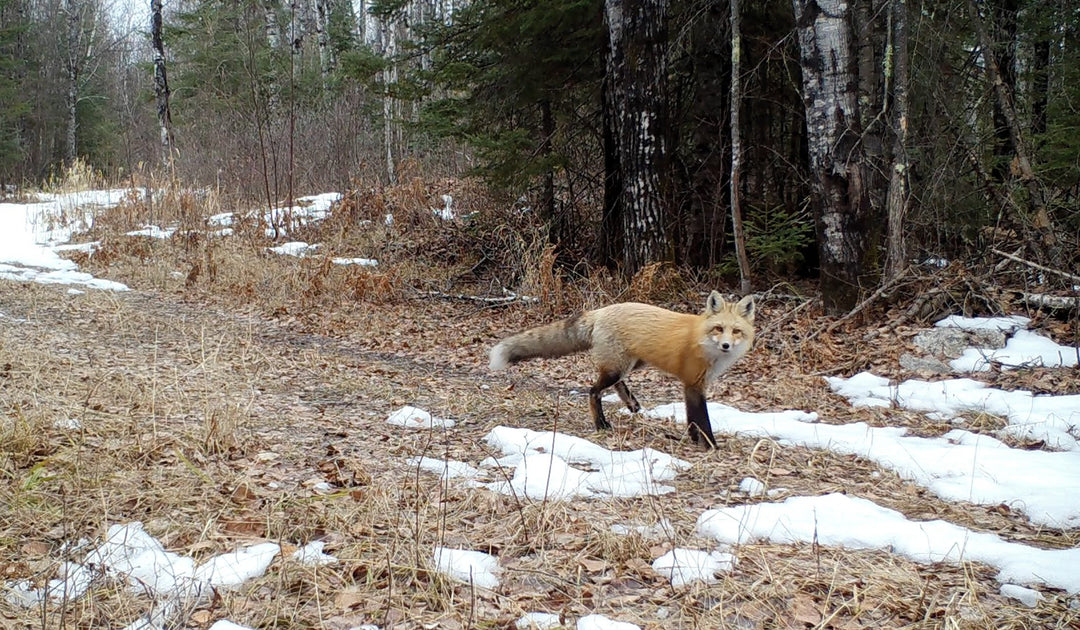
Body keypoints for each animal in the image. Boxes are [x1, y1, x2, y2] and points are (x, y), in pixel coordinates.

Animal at [490, 291, 751, 449]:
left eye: (736, 331)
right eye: (718, 329)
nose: (726, 345)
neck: (703, 344)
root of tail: (600, 311)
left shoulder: (695, 385)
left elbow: (693, 420)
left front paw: (697, 441)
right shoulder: (692, 384)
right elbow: (701, 420)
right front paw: (710, 445)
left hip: (634, 363)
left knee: (615, 383)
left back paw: (631, 403)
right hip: (620, 366)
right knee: (593, 391)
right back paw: (601, 424)